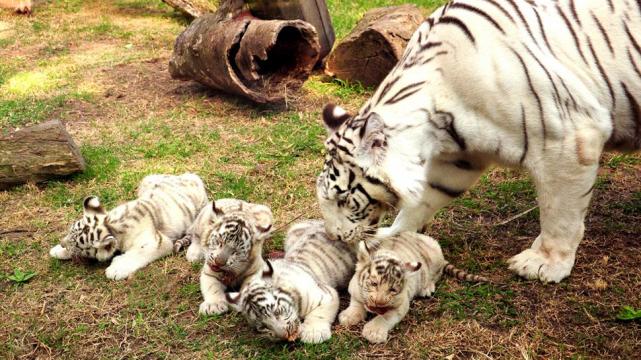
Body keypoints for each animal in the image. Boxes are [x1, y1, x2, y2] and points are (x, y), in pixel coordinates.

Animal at [316, 0, 640, 284]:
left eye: (344, 199)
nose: (333, 236)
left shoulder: (570, 137)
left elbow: (559, 212)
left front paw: (544, 263)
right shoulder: (458, 160)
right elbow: (421, 202)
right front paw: (392, 238)